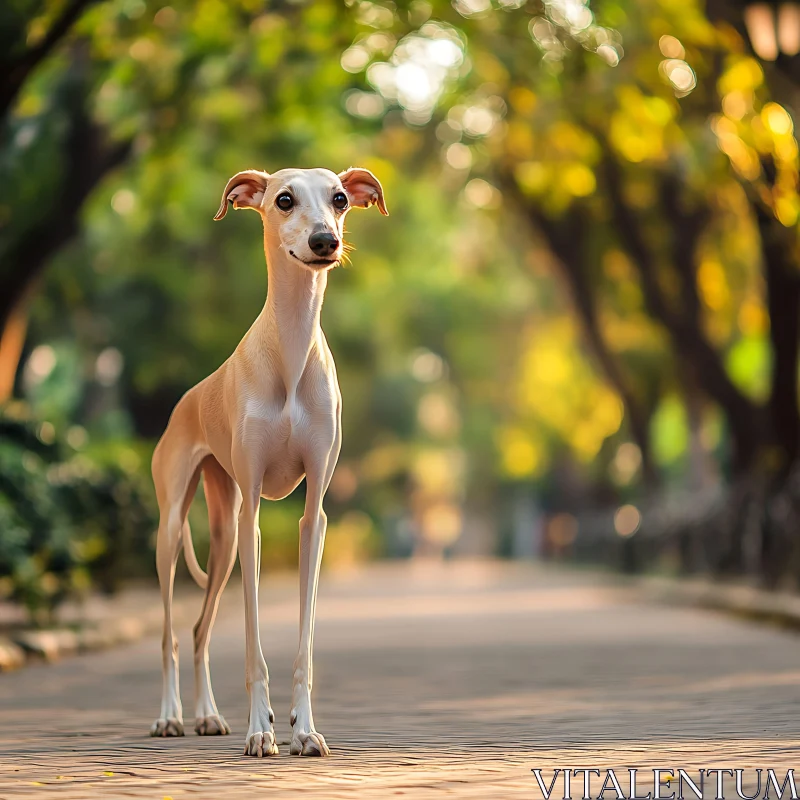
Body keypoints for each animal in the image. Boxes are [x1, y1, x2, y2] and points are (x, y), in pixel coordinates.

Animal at [149, 164, 388, 756]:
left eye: (340, 199)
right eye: (283, 199)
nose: (326, 241)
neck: (290, 350)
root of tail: (189, 398)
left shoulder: (314, 515)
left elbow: (303, 644)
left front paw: (304, 730)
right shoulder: (253, 514)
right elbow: (254, 644)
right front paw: (261, 730)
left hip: (223, 535)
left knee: (198, 631)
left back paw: (208, 716)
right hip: (175, 529)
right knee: (169, 633)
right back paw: (170, 717)